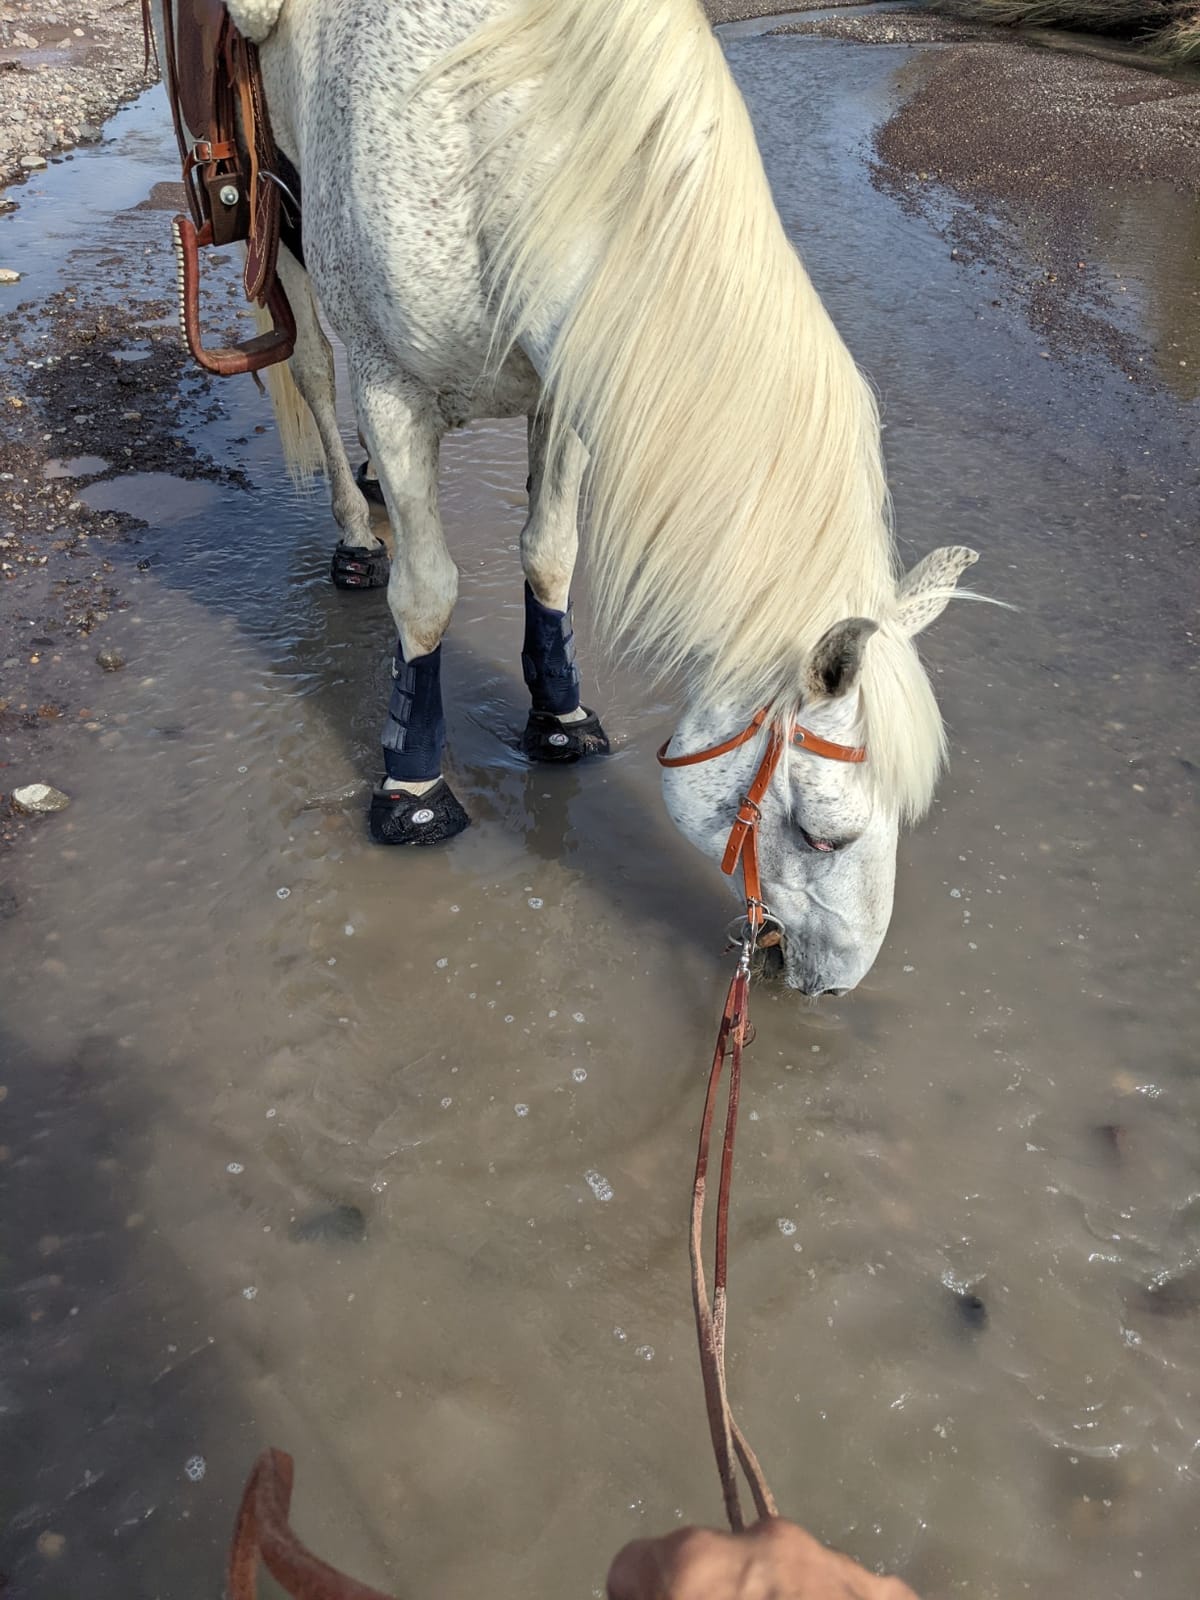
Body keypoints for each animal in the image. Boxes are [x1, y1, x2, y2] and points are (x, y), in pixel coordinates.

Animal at [209, 0, 982, 997]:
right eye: (821, 834)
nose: (836, 982)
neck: (488, 121)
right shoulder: (390, 385)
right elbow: (426, 594)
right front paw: (413, 788)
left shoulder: (576, 372)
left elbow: (550, 553)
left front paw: (561, 719)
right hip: (284, 234)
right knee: (308, 367)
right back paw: (354, 532)